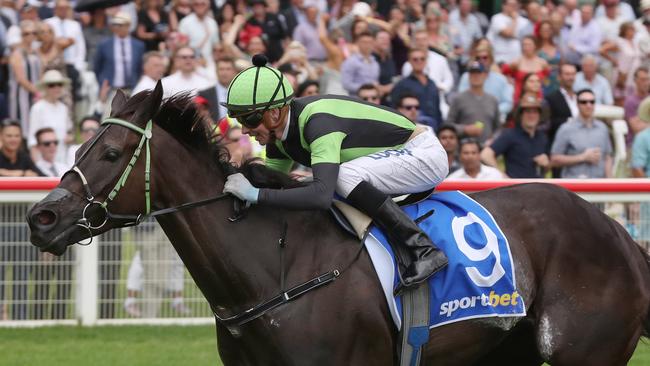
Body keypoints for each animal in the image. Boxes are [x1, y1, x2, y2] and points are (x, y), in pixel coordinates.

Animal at [27, 83, 648, 366]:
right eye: (77, 146)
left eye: (110, 154)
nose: (41, 217)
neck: (273, 270)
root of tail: (620, 235)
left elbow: (330, 180)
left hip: (584, 353)